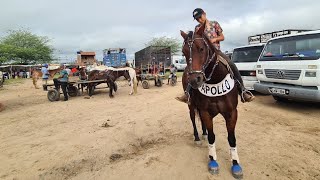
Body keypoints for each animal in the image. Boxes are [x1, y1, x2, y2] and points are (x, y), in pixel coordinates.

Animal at [180, 23, 242, 179]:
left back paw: (203, 133)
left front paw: (236, 164)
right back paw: (197, 137)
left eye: (201, 48)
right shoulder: (206, 111)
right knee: (193, 119)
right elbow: (212, 137)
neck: (215, 79)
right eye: (183, 53)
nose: (194, 80)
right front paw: (213, 161)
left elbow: (232, 138)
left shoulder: (232, 112)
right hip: (191, 105)